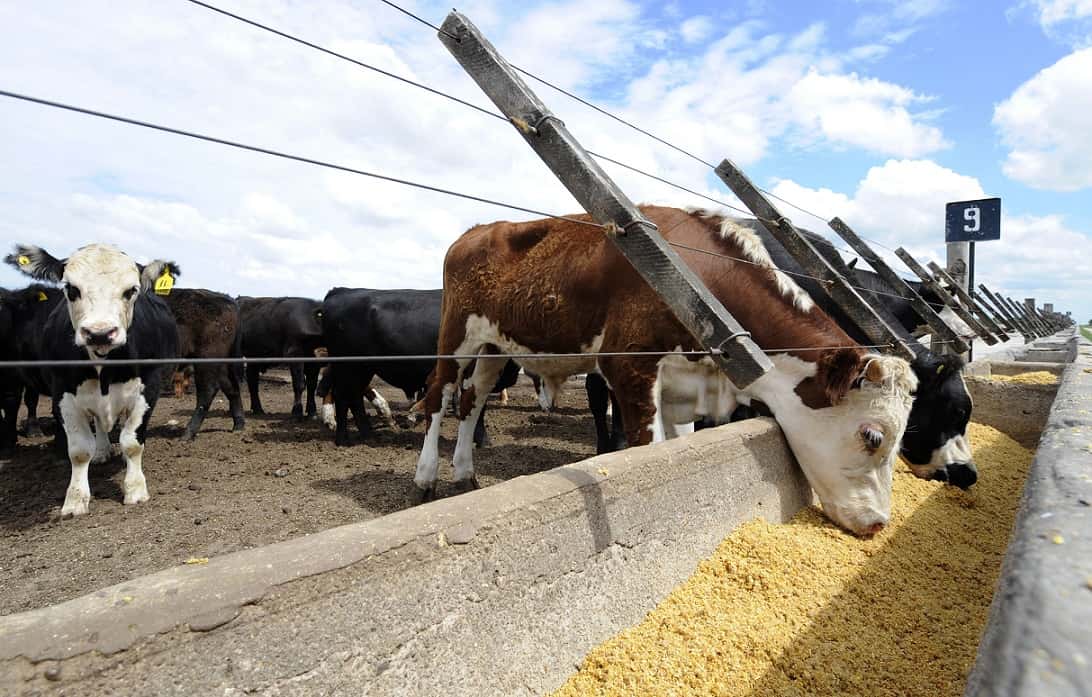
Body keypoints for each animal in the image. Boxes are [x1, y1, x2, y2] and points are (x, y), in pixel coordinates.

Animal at [5, 244, 180, 517]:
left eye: (131, 290)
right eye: (71, 289)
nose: (100, 333)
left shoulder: (149, 387)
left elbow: (132, 442)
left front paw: (135, 490)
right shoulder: (63, 393)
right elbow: (79, 450)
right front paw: (75, 500)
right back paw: (102, 451)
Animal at [164, 288, 246, 439]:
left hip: (207, 357)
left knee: (208, 390)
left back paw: (187, 433)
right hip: (220, 362)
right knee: (231, 386)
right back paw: (238, 426)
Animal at [415, 206, 917, 537]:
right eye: (873, 436)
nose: (879, 524)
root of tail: (477, 230)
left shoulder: (682, 386)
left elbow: (678, 445)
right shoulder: (629, 368)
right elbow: (645, 448)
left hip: (494, 347)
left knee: (472, 399)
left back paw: (464, 474)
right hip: (456, 334)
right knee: (440, 393)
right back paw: (426, 478)